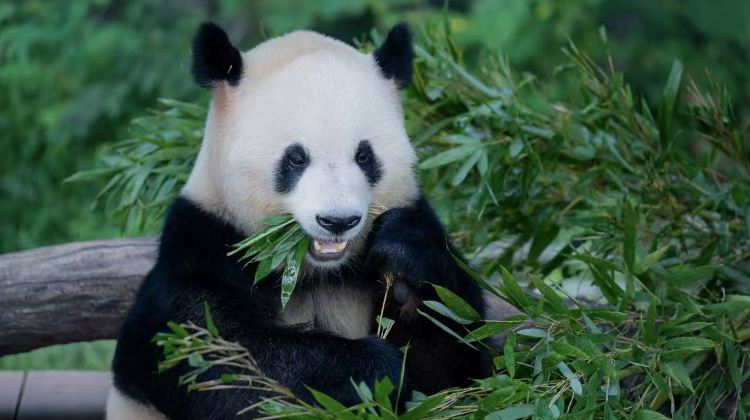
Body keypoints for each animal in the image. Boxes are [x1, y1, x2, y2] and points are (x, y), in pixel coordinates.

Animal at [107, 22, 491, 419]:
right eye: (295, 158)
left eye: (364, 156)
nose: (338, 220)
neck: (315, 273)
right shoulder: (204, 245)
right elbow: (216, 359)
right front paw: (372, 368)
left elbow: (457, 371)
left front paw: (402, 263)